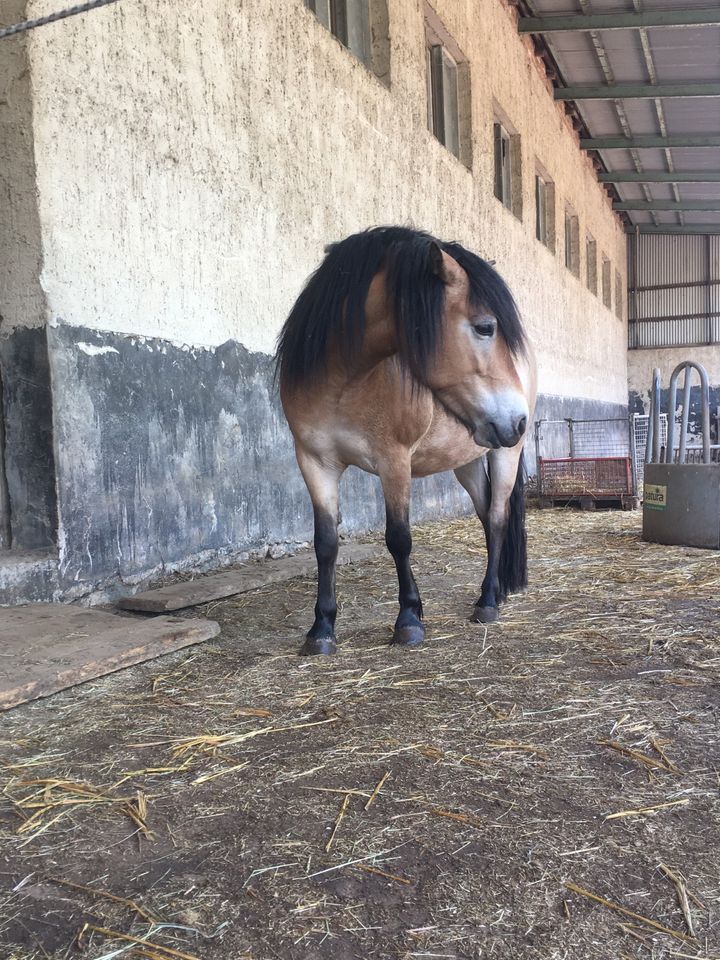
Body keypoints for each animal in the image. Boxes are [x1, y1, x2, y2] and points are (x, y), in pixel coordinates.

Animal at [276, 229, 536, 656]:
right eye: (486, 327)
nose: (517, 420)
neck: (344, 385)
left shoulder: (394, 462)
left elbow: (399, 538)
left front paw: (409, 619)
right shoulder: (314, 463)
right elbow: (325, 543)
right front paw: (321, 628)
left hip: (505, 453)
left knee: (498, 518)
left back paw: (486, 602)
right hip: (468, 457)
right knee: (485, 516)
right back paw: (495, 590)